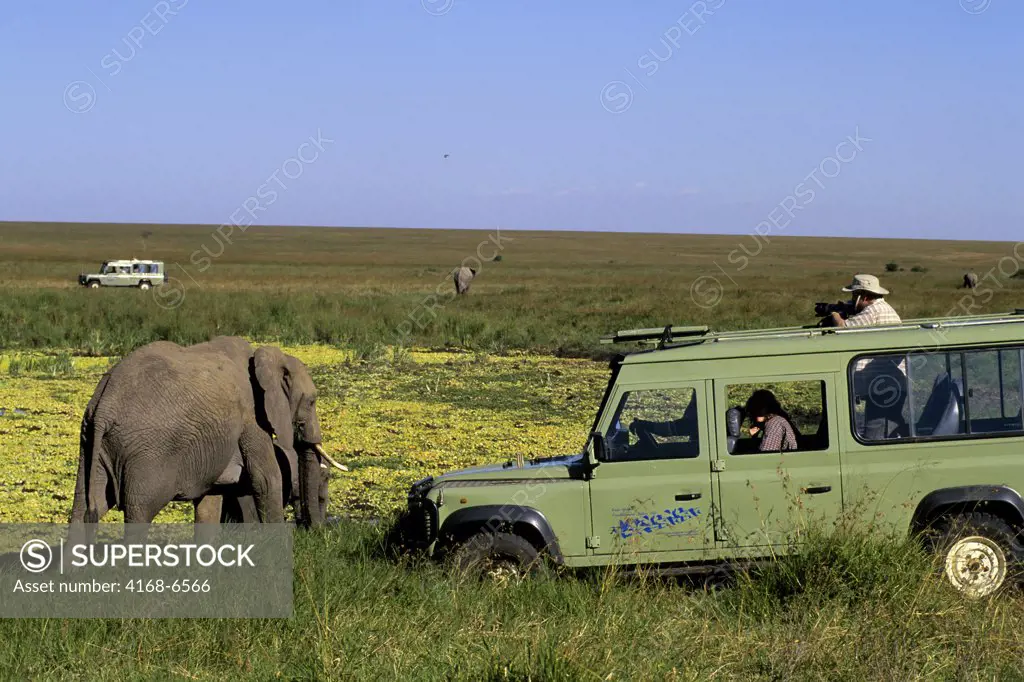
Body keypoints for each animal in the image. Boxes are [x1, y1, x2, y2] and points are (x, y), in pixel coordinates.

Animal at [69, 333, 339, 532]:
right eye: (312, 401)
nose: (316, 532)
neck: (263, 356)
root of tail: (104, 406)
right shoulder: (251, 414)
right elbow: (266, 478)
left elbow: (212, 499)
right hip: (146, 454)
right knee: (139, 512)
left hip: (91, 443)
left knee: (84, 506)